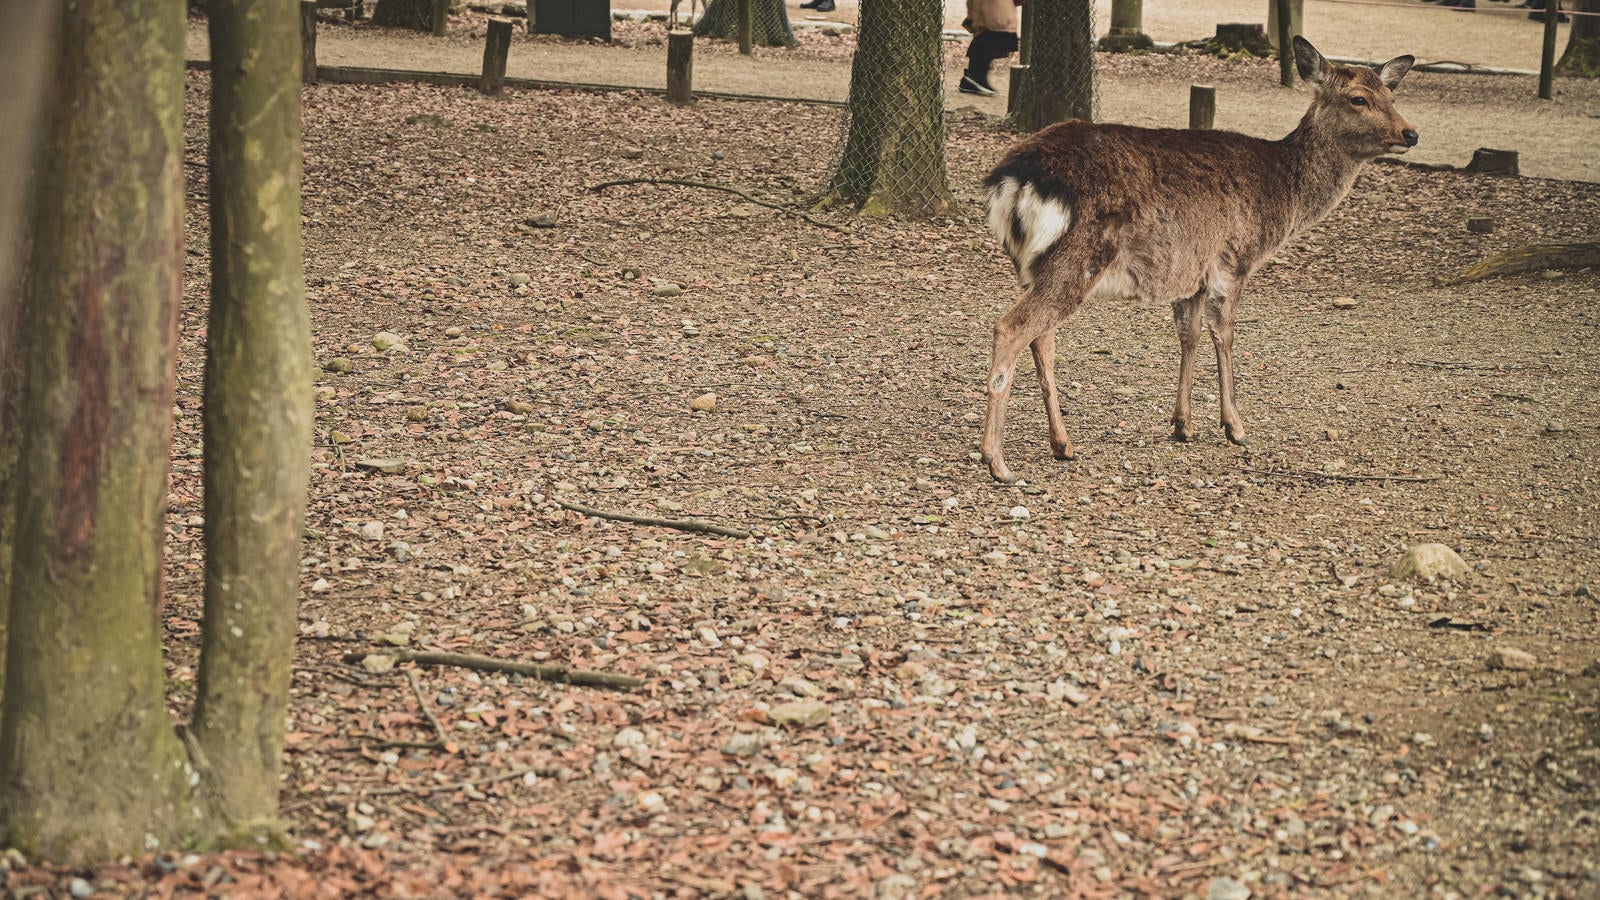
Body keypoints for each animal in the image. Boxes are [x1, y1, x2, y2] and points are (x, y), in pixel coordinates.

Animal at [972, 36, 1414, 483]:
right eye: (1358, 98)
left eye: (1392, 95)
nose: (1409, 133)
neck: (1282, 199)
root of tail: (1011, 179)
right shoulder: (1233, 260)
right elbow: (1225, 335)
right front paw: (1235, 427)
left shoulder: (1188, 276)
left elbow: (1190, 336)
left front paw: (1183, 424)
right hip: (1079, 257)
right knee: (1012, 326)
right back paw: (997, 461)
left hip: (1032, 266)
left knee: (1042, 337)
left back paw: (1063, 444)